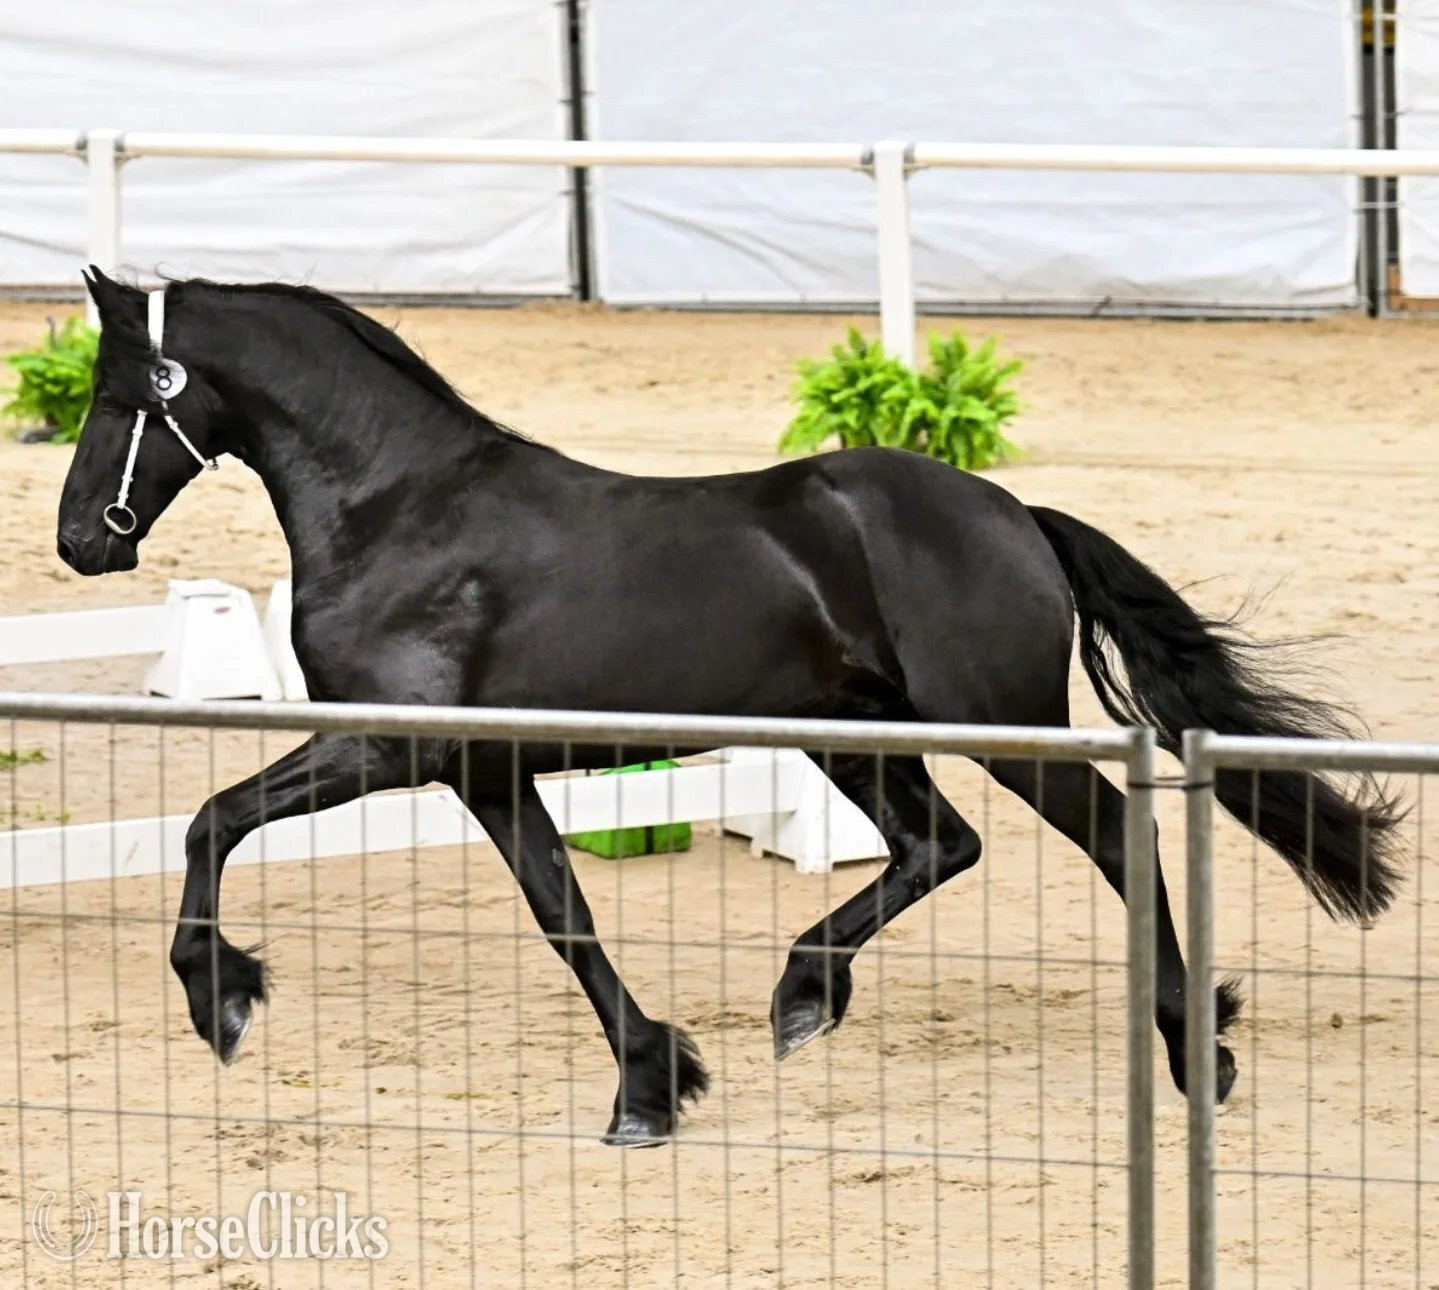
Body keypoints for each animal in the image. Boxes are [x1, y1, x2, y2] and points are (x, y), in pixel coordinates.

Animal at [55, 267, 1402, 1146]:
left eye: (118, 398)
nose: (80, 541)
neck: (401, 507)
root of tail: (1008, 512)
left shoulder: (390, 746)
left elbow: (212, 821)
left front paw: (222, 1001)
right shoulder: (486, 770)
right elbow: (566, 915)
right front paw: (651, 1087)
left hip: (997, 725)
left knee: (1109, 837)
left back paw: (1196, 1045)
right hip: (856, 734)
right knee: (937, 844)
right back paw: (803, 995)